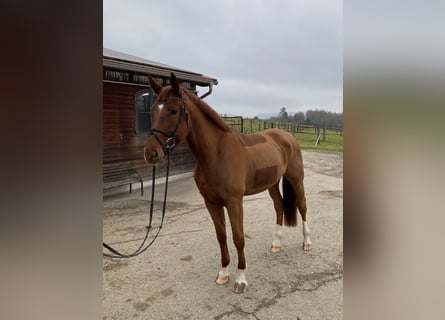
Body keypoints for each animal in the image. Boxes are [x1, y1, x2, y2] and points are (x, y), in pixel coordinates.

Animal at [144, 74, 310, 294]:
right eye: (153, 110)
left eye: (173, 111)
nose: (151, 153)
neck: (216, 154)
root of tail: (288, 136)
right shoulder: (211, 203)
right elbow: (221, 236)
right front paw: (223, 274)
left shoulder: (234, 202)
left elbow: (238, 237)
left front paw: (241, 279)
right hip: (272, 184)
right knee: (279, 206)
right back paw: (276, 244)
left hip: (296, 180)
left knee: (303, 207)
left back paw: (307, 243)